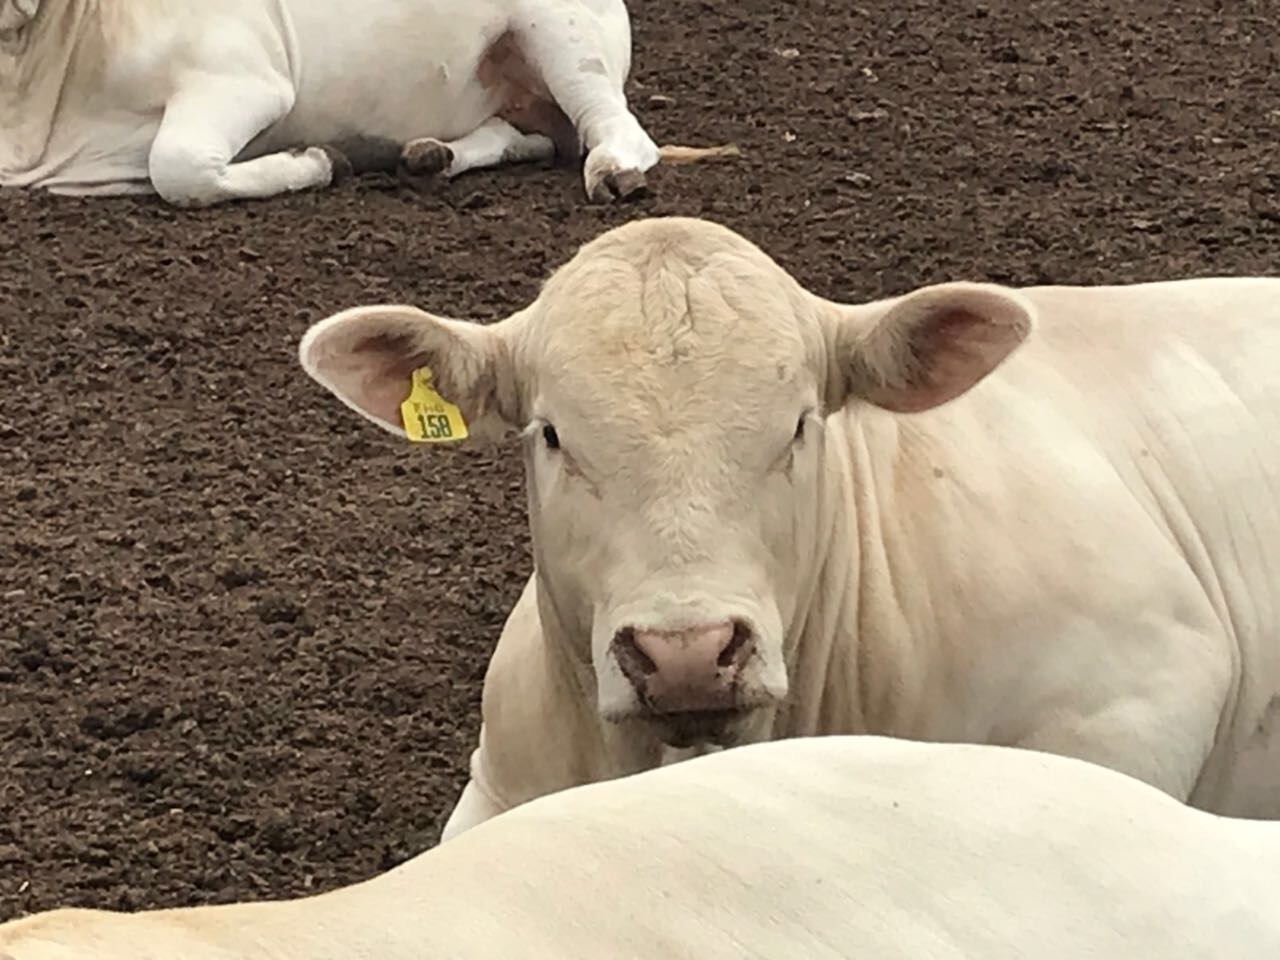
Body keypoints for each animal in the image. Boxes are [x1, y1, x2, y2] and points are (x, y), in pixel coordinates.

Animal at [0, 0, 736, 206]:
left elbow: (175, 168)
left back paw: (615, 171)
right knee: (523, 135)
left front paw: (317, 161)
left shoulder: (246, 77)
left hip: (563, 35)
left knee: (614, 128)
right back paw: (431, 156)